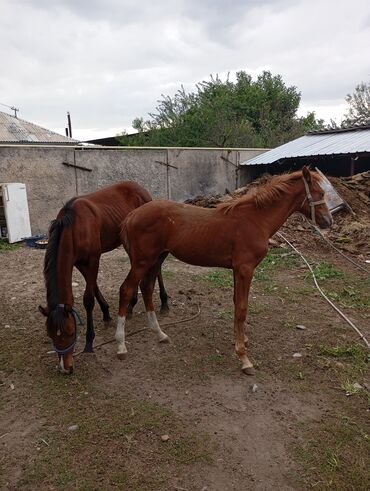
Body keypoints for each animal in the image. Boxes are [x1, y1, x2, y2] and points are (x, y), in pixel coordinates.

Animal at [39, 183, 169, 374]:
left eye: (71, 333)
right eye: (50, 334)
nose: (65, 368)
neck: (75, 227)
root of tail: (141, 189)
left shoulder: (93, 259)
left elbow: (88, 299)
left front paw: (89, 342)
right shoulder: (79, 263)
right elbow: (94, 286)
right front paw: (107, 313)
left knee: (156, 270)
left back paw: (164, 302)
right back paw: (131, 305)